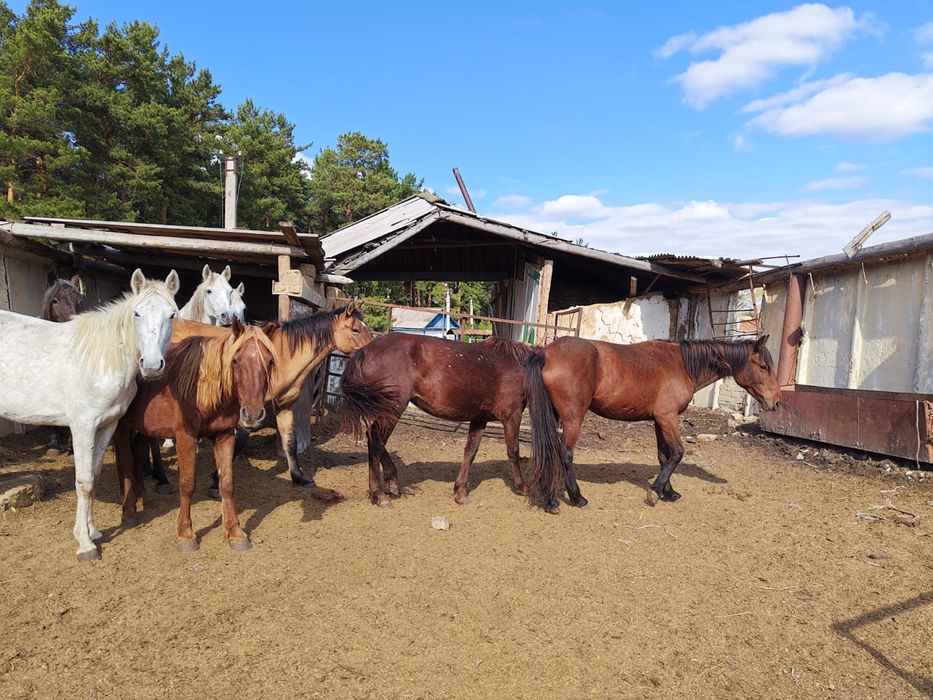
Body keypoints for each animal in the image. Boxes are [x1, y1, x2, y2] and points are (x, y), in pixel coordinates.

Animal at [114, 318, 277, 551]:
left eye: (270, 361)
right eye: (236, 360)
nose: (253, 414)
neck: (202, 389)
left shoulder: (225, 436)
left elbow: (227, 484)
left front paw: (235, 532)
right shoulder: (186, 438)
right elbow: (187, 484)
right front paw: (186, 534)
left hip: (146, 426)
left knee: (137, 451)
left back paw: (142, 498)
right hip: (120, 423)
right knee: (126, 458)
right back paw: (128, 511)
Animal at [340, 333, 535, 507]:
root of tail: (365, 350)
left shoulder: (480, 418)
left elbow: (470, 451)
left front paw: (460, 491)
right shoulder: (512, 416)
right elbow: (513, 450)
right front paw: (523, 486)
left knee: (374, 439)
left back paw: (392, 482)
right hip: (392, 409)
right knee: (375, 439)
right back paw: (380, 495)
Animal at [524, 336, 781, 512]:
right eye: (763, 366)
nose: (776, 402)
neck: (681, 364)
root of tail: (547, 353)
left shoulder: (659, 420)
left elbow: (664, 456)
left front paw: (670, 492)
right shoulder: (668, 417)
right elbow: (678, 452)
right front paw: (656, 492)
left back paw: (552, 498)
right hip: (573, 418)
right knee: (565, 454)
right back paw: (575, 498)